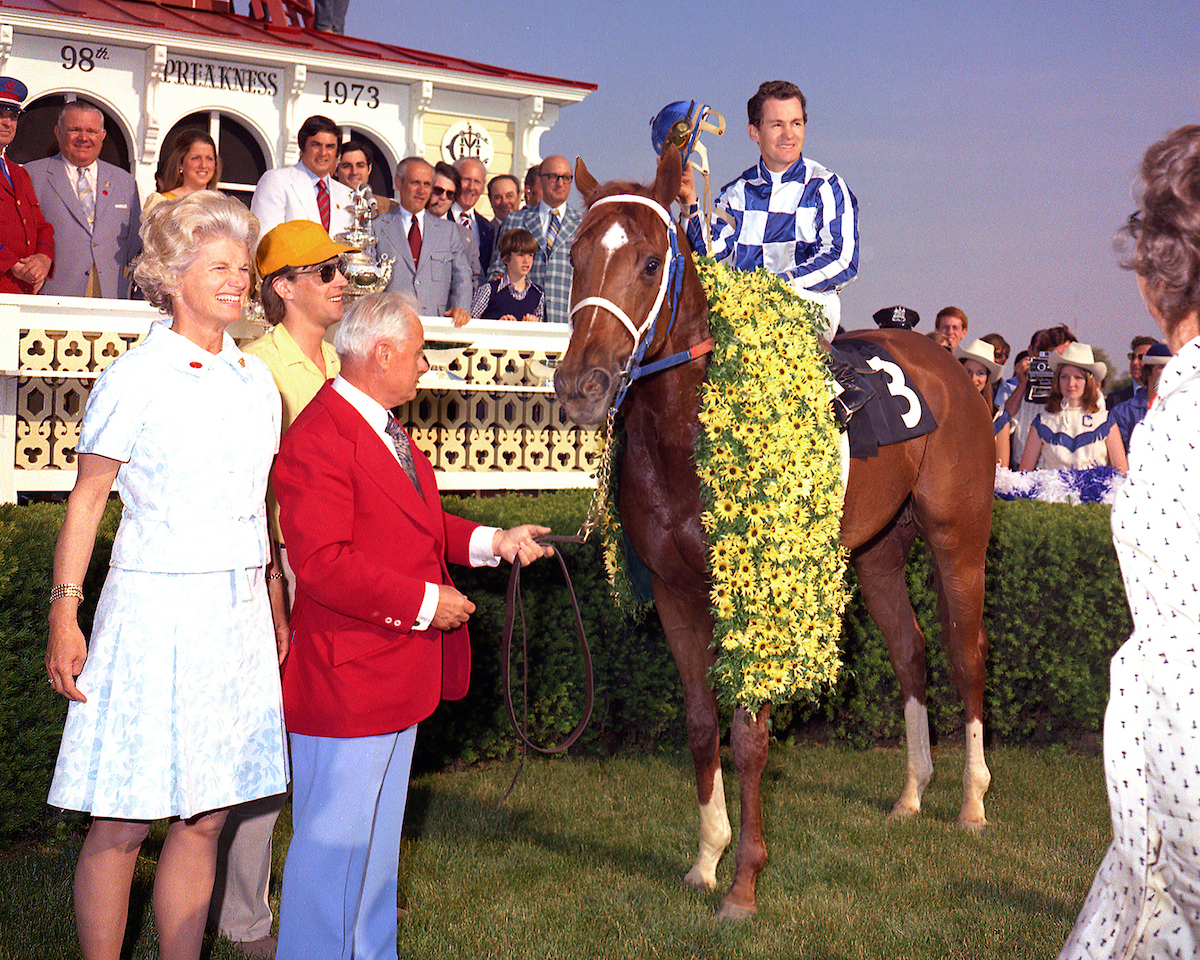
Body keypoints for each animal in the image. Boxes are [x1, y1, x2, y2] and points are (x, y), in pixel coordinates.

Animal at [552, 146, 993, 916]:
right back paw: (912, 795)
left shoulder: (756, 592)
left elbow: (750, 737)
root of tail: (952, 369)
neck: (686, 436)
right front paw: (705, 860)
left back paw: (971, 803)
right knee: (911, 653)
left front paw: (744, 883)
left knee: (966, 657)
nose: (582, 386)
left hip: (958, 540)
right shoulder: (675, 590)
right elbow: (702, 727)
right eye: (574, 258)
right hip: (877, 553)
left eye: (648, 263)